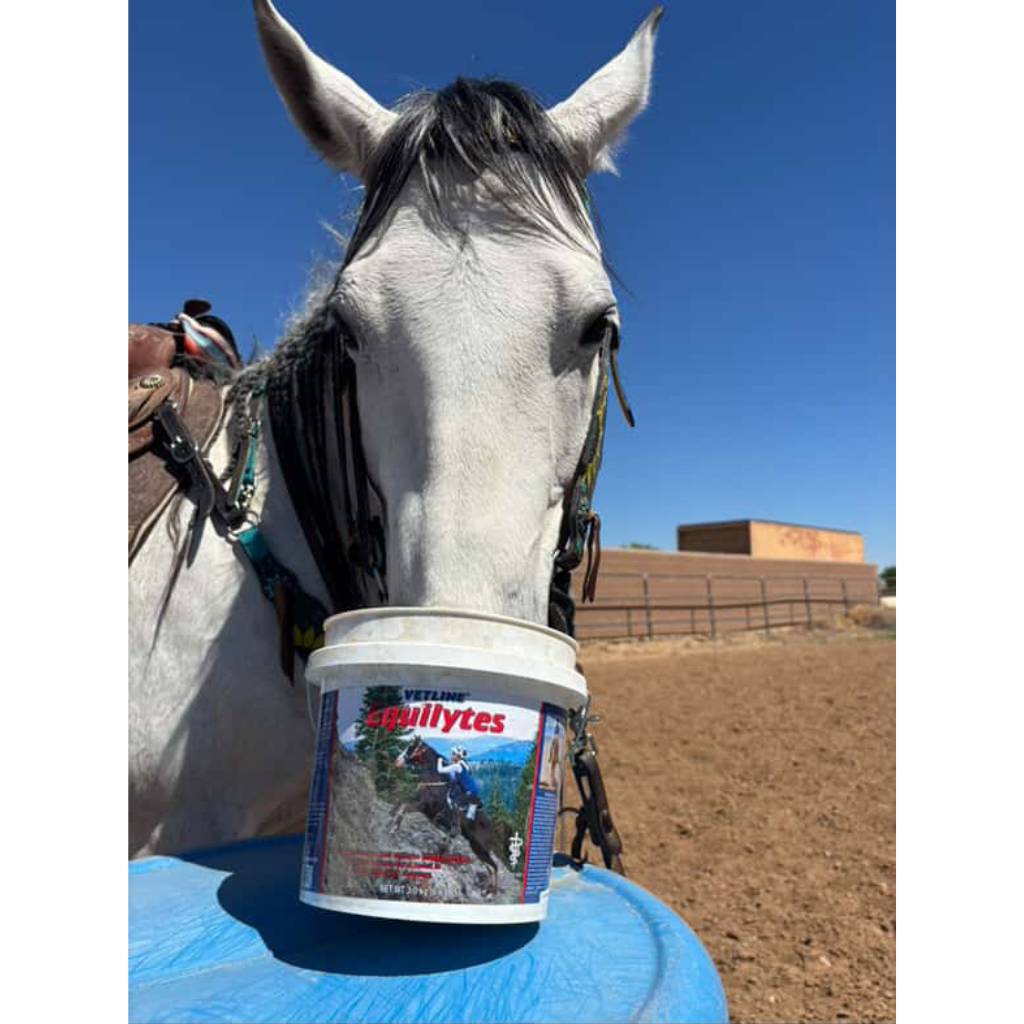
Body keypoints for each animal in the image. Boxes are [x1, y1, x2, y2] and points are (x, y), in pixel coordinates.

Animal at [393, 736, 499, 894]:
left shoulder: (421, 806)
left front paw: (394, 827)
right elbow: (400, 803)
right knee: (489, 868)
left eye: (411, 746)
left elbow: (404, 807)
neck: (435, 778)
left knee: (494, 867)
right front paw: (391, 822)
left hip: (480, 847)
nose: (397, 761)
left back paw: (491, 893)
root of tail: (493, 827)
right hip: (476, 848)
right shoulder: (420, 805)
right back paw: (487, 890)